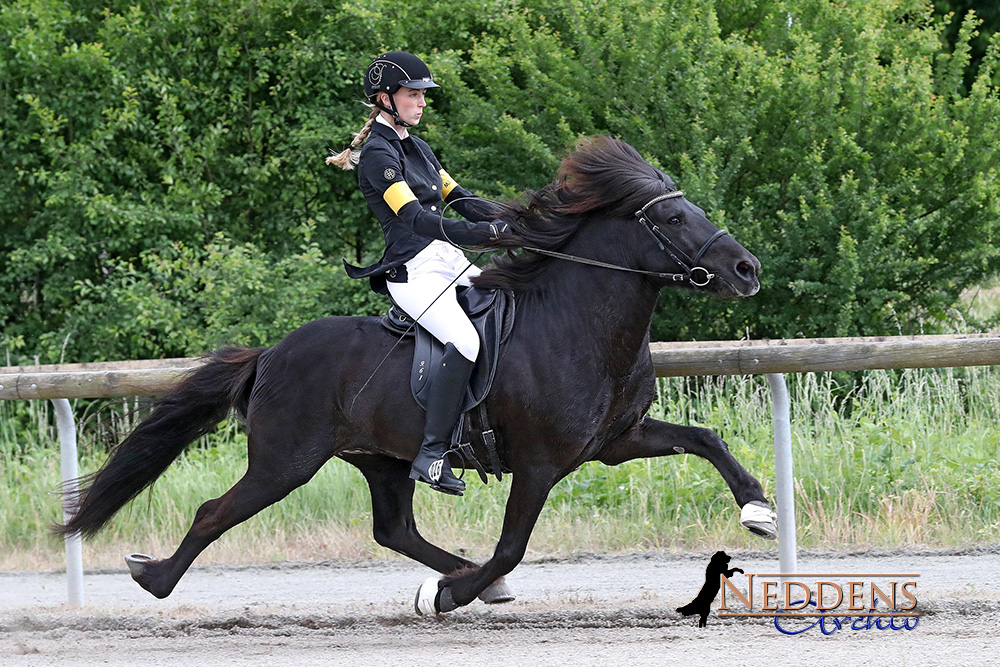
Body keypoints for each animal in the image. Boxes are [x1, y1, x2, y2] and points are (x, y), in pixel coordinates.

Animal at [62, 136, 776, 616]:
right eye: (675, 218)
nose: (748, 270)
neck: (579, 325)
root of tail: (271, 353)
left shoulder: (616, 441)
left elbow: (706, 439)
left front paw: (760, 510)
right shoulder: (541, 462)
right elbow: (514, 543)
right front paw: (450, 596)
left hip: (380, 457)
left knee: (393, 528)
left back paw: (461, 576)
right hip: (285, 460)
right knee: (217, 511)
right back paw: (153, 578)